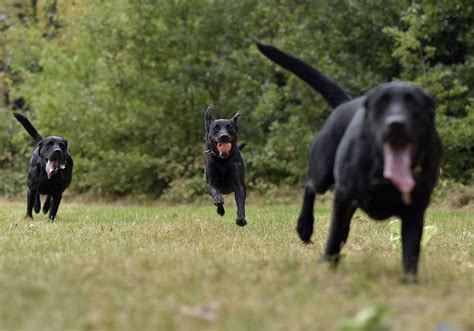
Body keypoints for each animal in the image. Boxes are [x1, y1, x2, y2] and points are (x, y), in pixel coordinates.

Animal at [258, 42, 442, 280]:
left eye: (415, 105)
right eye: (381, 104)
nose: (396, 123)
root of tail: (346, 103)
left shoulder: (415, 210)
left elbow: (411, 250)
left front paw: (410, 280)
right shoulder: (343, 195)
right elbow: (333, 234)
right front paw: (327, 262)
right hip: (323, 171)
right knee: (310, 187)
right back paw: (305, 227)